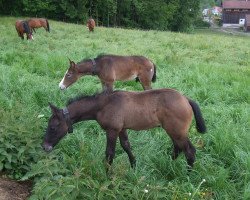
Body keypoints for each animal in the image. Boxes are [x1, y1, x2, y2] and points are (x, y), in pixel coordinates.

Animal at [43, 89, 207, 170]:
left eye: (52, 127)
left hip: (177, 132)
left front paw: (108, 177)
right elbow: (126, 146)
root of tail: (186, 99)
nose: (44, 146)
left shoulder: (112, 130)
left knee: (189, 151)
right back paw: (169, 166)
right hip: (173, 131)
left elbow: (109, 154)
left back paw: (188, 174)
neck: (103, 104)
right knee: (178, 149)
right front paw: (134, 166)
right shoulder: (121, 129)